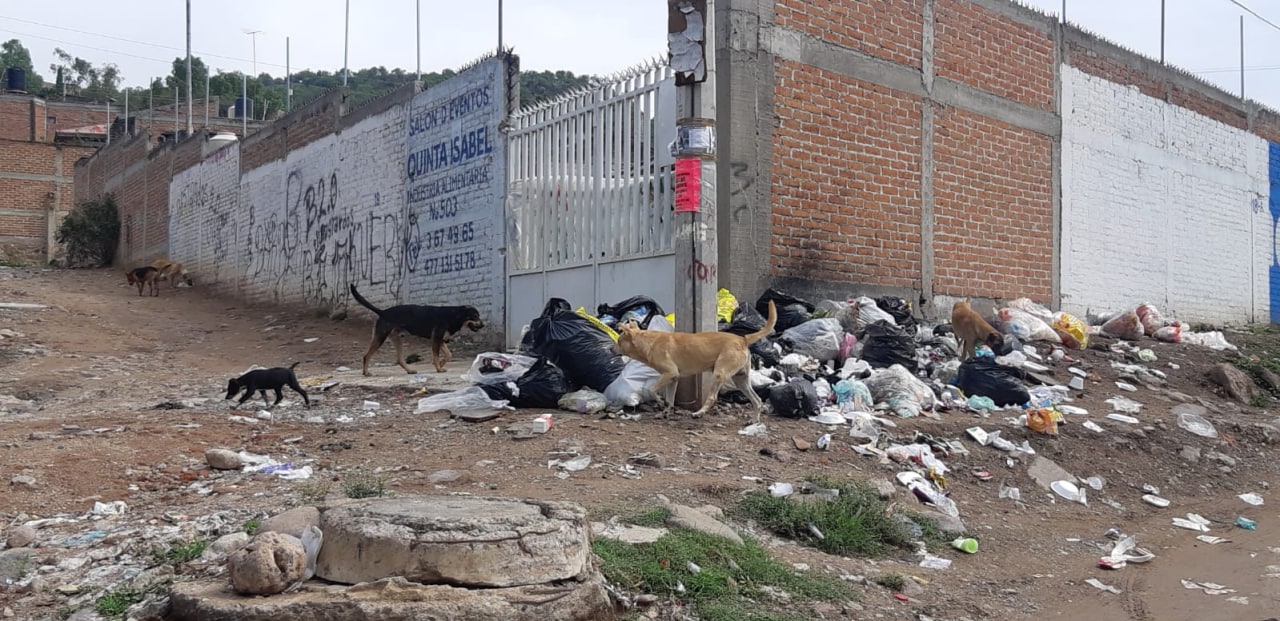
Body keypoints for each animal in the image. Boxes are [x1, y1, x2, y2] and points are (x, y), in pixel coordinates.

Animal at [348, 282, 481, 376]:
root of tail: (383, 312)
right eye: (475, 316)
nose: (483, 325)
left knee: (399, 359)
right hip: (380, 337)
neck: (454, 315)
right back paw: (366, 372)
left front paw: (441, 364)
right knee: (366, 356)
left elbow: (449, 355)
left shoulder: (440, 340)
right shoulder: (436, 339)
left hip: (397, 339)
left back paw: (410, 371)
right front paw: (438, 368)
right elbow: (436, 356)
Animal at [611, 298, 773, 419]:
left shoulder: (669, 373)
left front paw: (660, 402)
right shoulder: (673, 378)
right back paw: (754, 422)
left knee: (712, 398)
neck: (648, 341)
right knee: (757, 400)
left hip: (720, 374)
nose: (610, 349)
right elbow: (670, 399)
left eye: (618, 341)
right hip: (741, 380)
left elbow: (651, 390)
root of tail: (743, 339)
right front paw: (665, 411)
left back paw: (699, 413)